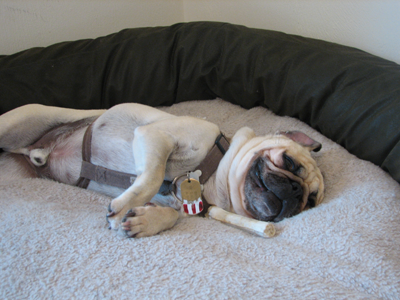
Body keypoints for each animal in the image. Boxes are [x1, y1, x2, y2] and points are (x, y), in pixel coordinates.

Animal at [0, 102, 324, 238]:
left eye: (310, 203)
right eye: (289, 163)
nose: (296, 191)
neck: (209, 177)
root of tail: (38, 151)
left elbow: (171, 213)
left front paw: (144, 221)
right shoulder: (157, 137)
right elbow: (153, 178)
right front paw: (123, 208)